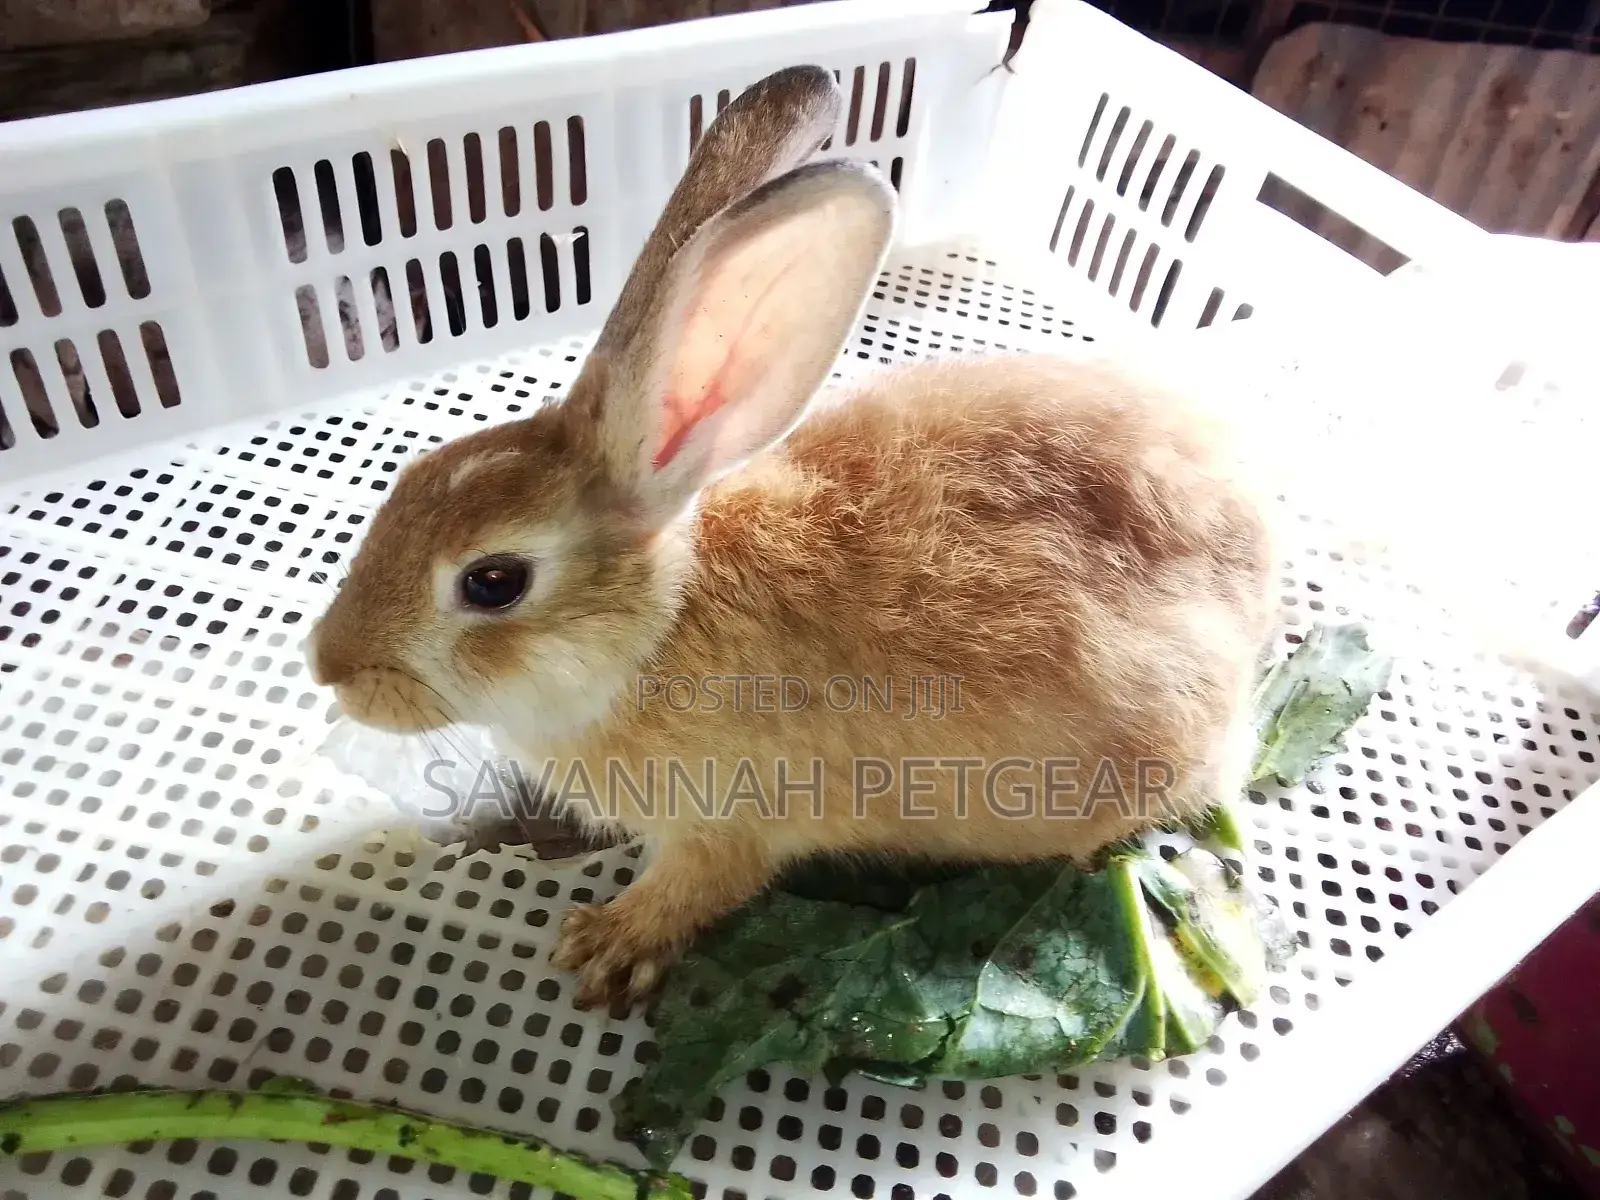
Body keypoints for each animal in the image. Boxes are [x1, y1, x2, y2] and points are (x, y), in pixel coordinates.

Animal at [305, 64, 1277, 1011]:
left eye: (494, 581)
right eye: (410, 479)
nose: (329, 665)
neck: (656, 630)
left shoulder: (725, 830)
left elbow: (690, 890)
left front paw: (603, 949)